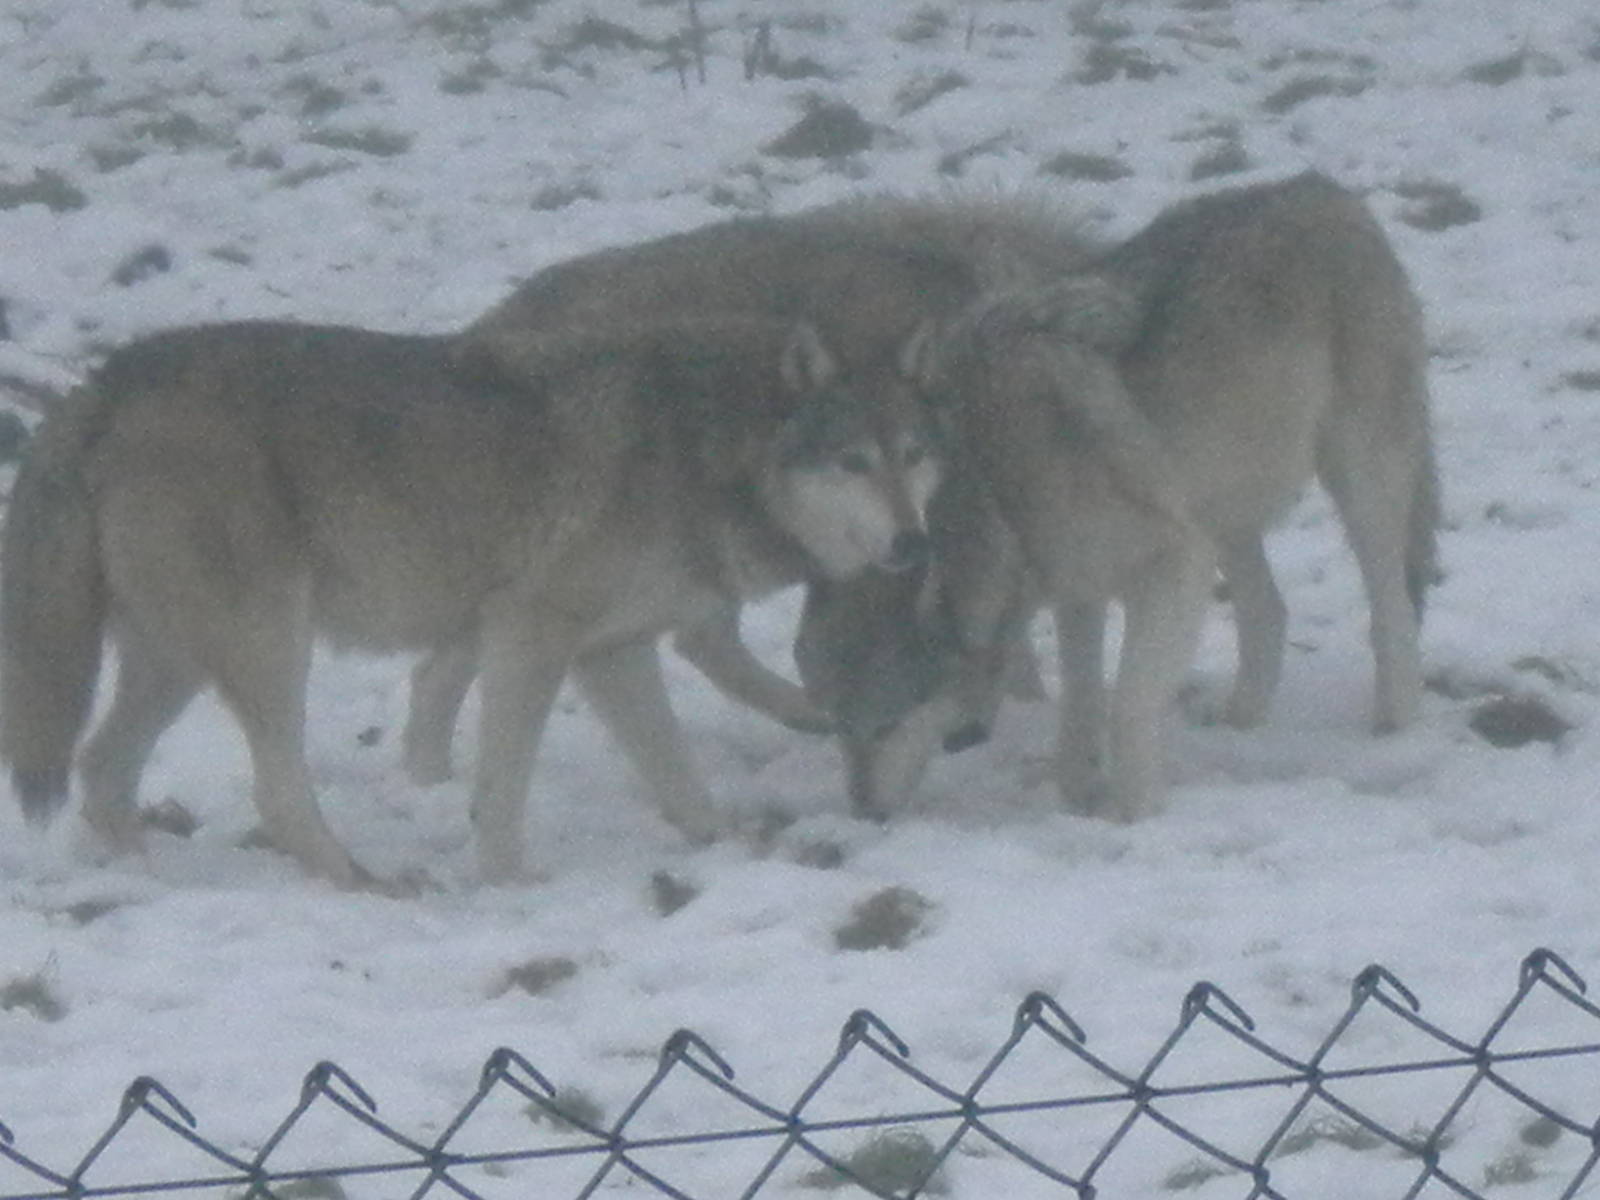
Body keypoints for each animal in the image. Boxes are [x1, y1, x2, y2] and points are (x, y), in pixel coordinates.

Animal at [0, 316, 941, 887]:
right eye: (853, 463)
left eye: (912, 457)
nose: (913, 543)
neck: (704, 446)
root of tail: (104, 380)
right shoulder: (530, 633)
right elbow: (505, 779)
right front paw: (509, 882)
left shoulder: (611, 651)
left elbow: (675, 772)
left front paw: (730, 840)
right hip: (270, 645)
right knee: (273, 791)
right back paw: (365, 884)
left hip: (180, 663)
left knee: (102, 770)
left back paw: (149, 880)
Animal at [798, 172, 1439, 823]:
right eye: (840, 731)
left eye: (884, 727)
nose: (865, 813)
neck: (998, 482)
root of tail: (1327, 190)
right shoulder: (1078, 589)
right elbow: (1081, 706)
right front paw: (1081, 797)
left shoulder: (1174, 563)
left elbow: (1128, 702)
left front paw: (1134, 817)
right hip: (1219, 511)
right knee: (1269, 611)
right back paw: (1241, 721)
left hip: (1354, 483)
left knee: (1391, 608)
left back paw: (1395, 724)